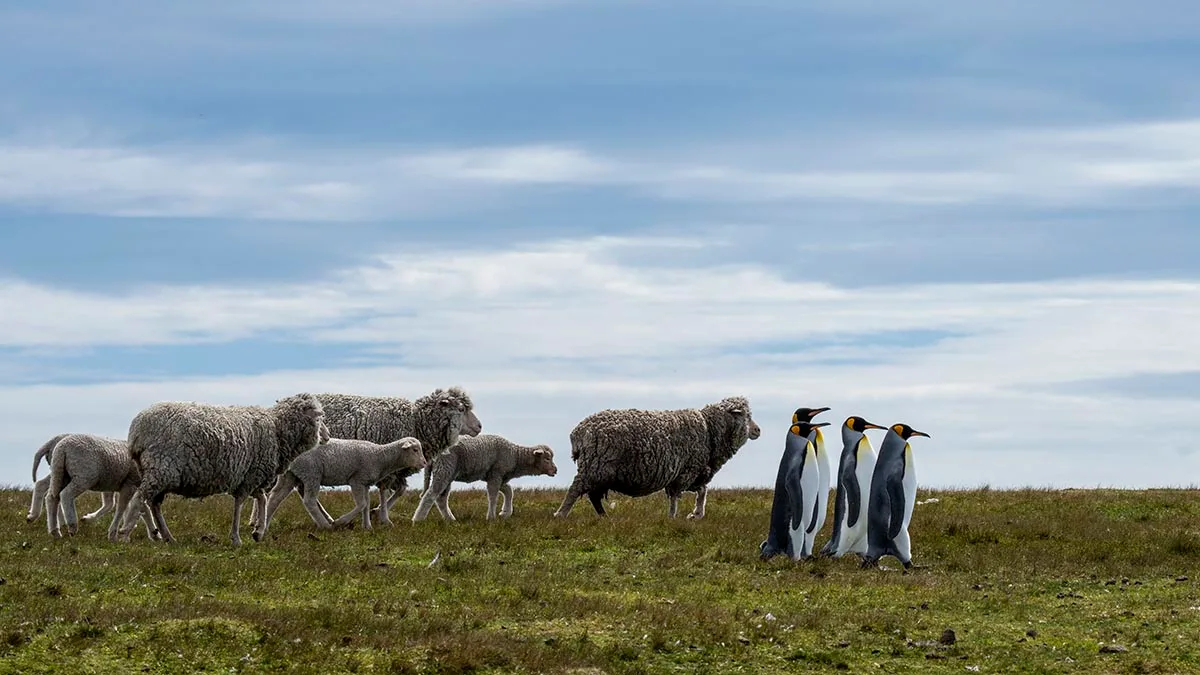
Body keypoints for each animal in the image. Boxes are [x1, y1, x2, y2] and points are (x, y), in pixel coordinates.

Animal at [116, 393, 330, 546]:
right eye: (319, 417)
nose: (327, 436)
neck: (278, 430)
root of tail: (136, 430)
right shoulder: (250, 476)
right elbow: (240, 504)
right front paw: (237, 538)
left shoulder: (252, 476)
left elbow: (262, 499)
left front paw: (258, 531)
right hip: (161, 467)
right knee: (140, 499)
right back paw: (125, 533)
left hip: (158, 471)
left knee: (154, 504)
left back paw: (169, 537)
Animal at [258, 437, 426, 535]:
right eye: (415, 449)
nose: (424, 463)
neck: (380, 456)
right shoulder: (356, 480)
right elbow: (361, 504)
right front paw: (340, 521)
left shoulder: (364, 483)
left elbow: (366, 505)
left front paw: (367, 527)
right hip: (312, 473)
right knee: (309, 501)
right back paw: (325, 525)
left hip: (290, 475)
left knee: (275, 498)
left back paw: (264, 528)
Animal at [314, 387, 482, 524]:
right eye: (461, 409)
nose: (479, 426)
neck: (417, 422)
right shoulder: (386, 464)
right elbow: (384, 490)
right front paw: (384, 518)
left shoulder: (397, 469)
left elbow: (400, 490)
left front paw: (377, 512)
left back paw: (328, 518)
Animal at [412, 434, 558, 523]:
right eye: (547, 458)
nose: (555, 470)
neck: (515, 456)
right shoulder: (496, 474)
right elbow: (493, 496)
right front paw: (491, 517)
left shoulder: (498, 476)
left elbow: (509, 491)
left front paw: (505, 513)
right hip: (444, 468)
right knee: (430, 495)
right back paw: (418, 519)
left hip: (448, 472)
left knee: (441, 498)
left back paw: (450, 519)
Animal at [553, 396, 761, 519]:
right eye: (746, 416)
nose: (758, 430)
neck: (710, 431)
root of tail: (579, 431)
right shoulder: (686, 471)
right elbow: (676, 497)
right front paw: (673, 517)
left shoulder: (694, 472)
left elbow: (702, 491)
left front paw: (696, 513)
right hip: (595, 465)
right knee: (576, 489)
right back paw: (561, 514)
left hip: (601, 470)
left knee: (593, 496)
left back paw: (605, 517)